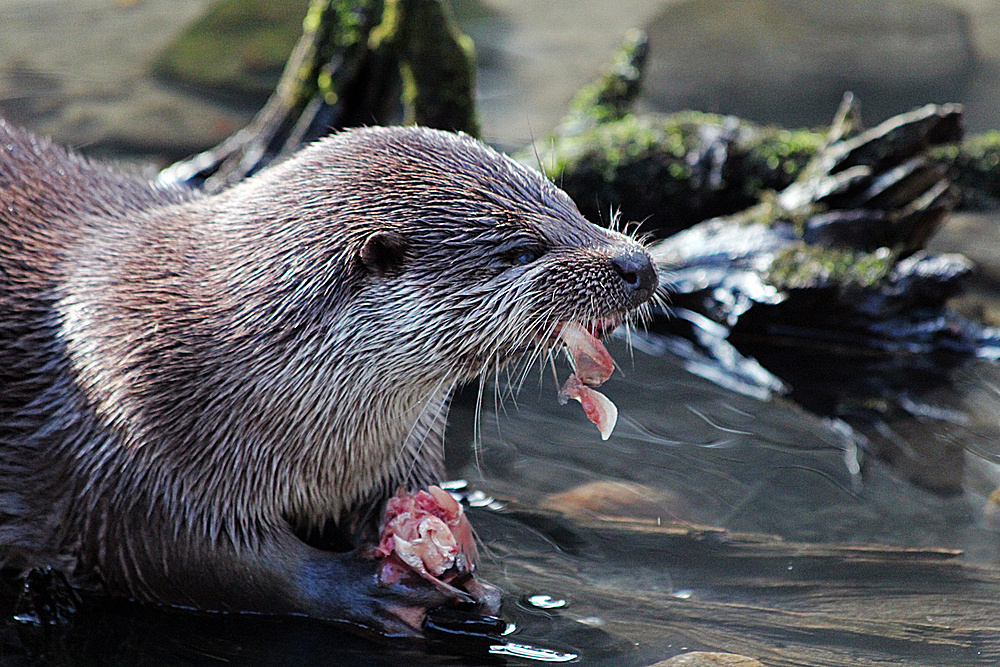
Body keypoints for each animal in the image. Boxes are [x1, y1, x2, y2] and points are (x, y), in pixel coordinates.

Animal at [0, 122, 660, 640]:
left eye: (571, 204)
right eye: (523, 251)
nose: (638, 263)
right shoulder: (136, 435)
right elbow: (187, 558)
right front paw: (367, 587)